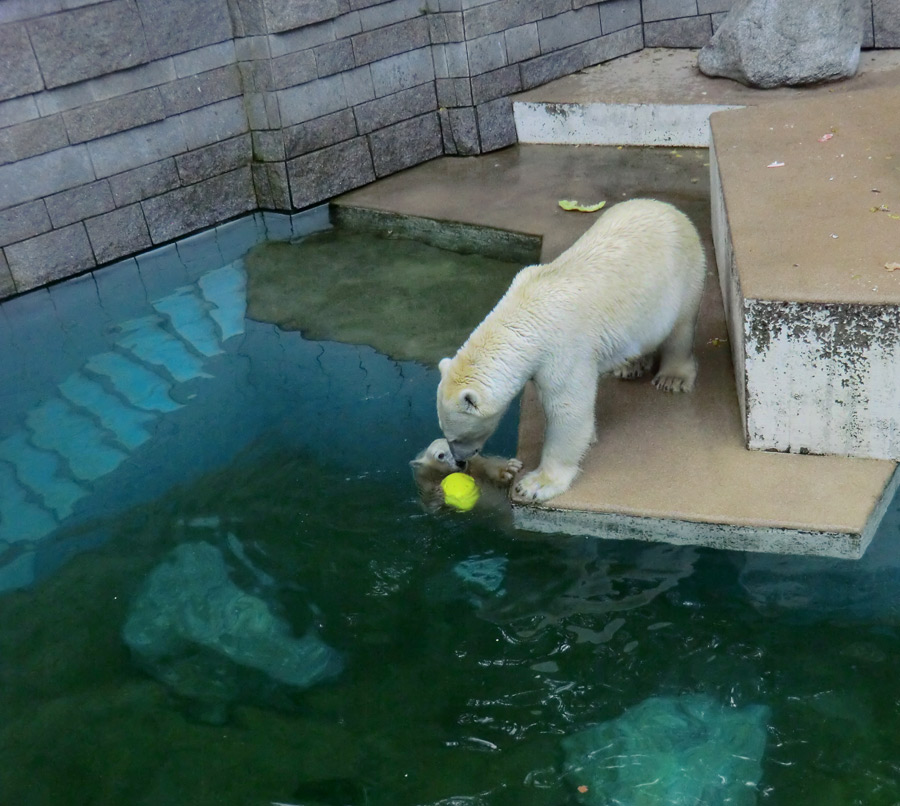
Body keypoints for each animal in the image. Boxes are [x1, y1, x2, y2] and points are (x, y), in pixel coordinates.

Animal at [440, 200, 708, 504]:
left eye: (457, 436)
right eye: (446, 433)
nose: (460, 461)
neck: (525, 312)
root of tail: (669, 208)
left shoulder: (563, 346)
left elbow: (567, 410)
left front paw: (535, 484)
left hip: (682, 278)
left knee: (680, 329)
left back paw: (672, 377)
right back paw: (630, 365)